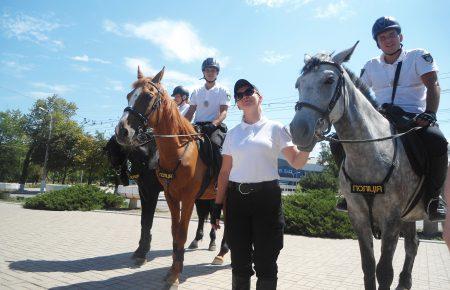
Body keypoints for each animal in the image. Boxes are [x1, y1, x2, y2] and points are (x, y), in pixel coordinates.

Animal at [116, 67, 225, 286]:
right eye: (129, 95)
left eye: (148, 96)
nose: (122, 131)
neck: (178, 150)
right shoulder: (169, 196)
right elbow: (172, 231)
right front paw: (172, 268)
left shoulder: (186, 198)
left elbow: (180, 232)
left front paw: (175, 275)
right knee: (205, 215)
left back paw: (220, 252)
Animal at [290, 43, 424, 290]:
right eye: (298, 84)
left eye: (329, 80)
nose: (298, 130)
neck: (370, 153)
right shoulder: (358, 217)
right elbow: (368, 267)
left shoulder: (391, 220)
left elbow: (384, 272)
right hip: (409, 215)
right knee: (413, 244)